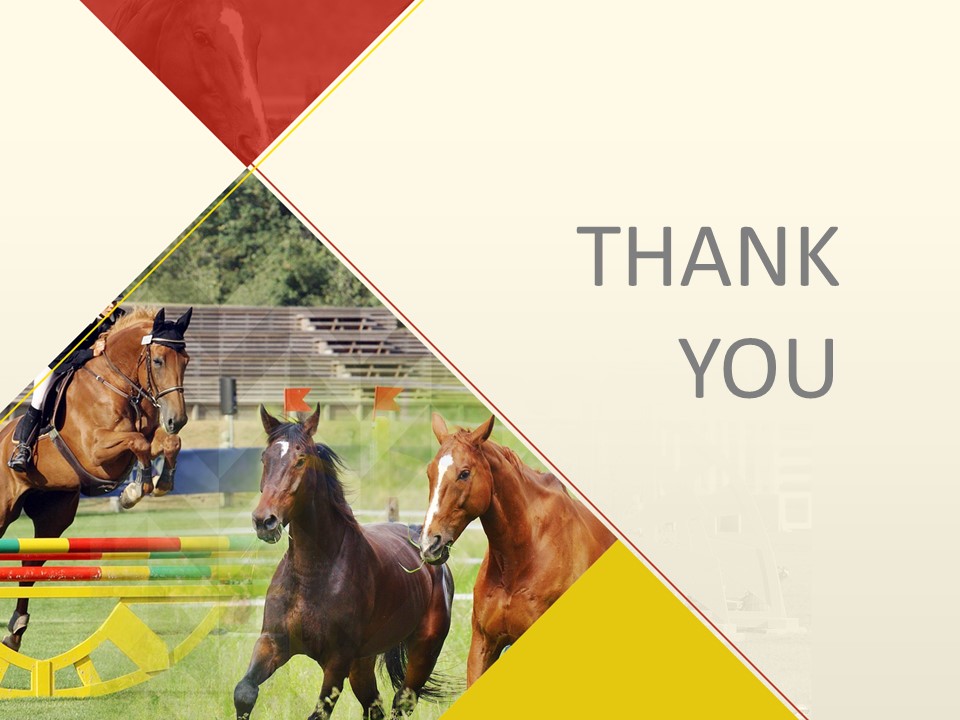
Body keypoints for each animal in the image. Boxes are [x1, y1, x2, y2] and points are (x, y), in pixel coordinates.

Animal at [0, 306, 192, 651]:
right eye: (158, 360)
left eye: (186, 361)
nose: (177, 418)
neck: (118, 383)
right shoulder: (96, 451)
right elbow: (138, 443)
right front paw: (137, 488)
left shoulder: (146, 437)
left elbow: (167, 442)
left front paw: (160, 483)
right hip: (2, 508)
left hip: (54, 516)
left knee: (31, 564)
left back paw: (15, 631)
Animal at [235, 405, 454, 720]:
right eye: (265, 459)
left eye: (300, 460)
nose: (265, 521)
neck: (313, 575)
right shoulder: (273, 642)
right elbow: (244, 692)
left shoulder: (337, 660)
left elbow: (318, 713)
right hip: (362, 663)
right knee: (374, 707)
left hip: (424, 651)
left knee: (401, 703)